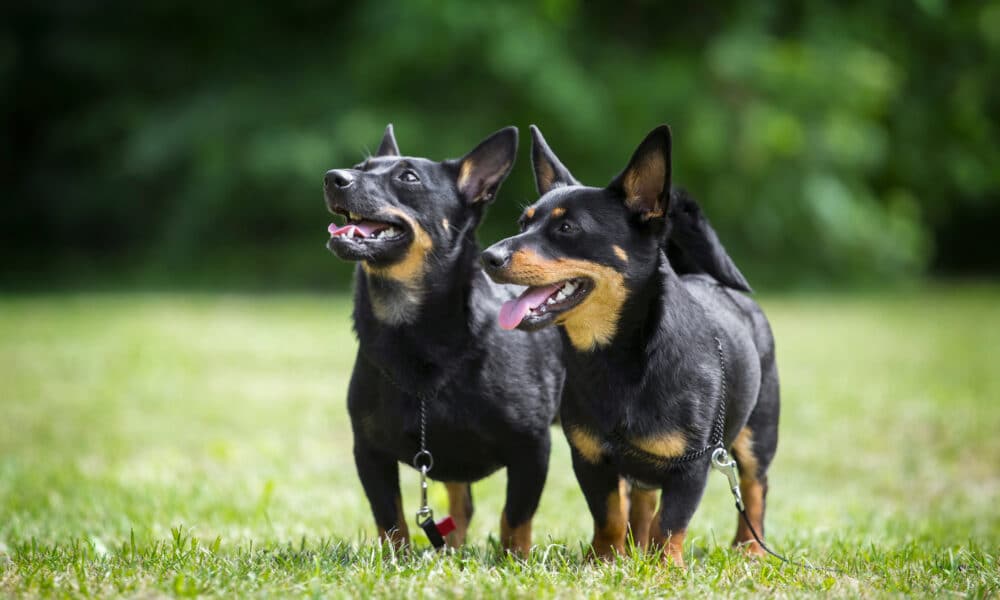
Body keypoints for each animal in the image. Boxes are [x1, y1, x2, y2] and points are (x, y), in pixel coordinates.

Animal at [326, 125, 568, 552]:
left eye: (408, 178)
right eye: (361, 167)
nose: (333, 178)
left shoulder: (532, 448)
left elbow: (515, 520)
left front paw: (514, 560)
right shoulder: (369, 452)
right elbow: (391, 521)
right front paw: (398, 561)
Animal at [480, 124, 776, 564]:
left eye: (567, 229)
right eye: (522, 222)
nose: (488, 256)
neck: (616, 359)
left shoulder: (692, 467)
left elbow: (670, 526)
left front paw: (663, 568)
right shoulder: (591, 459)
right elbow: (609, 516)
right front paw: (603, 561)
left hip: (758, 433)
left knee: (755, 488)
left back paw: (750, 548)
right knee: (641, 501)